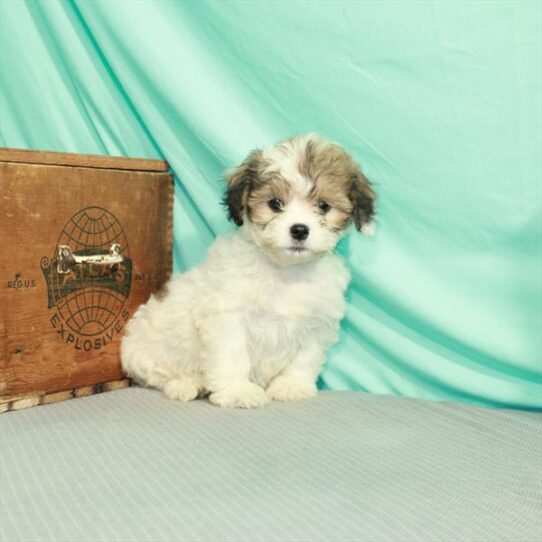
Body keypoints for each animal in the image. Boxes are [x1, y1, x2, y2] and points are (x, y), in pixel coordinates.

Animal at [121, 134, 376, 410]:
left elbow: (305, 357)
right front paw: (238, 391)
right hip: (143, 351)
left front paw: (291, 386)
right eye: (275, 203)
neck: (286, 270)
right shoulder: (227, 316)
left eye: (323, 206)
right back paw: (187, 383)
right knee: (160, 375)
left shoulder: (318, 322)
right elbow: (232, 356)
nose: (299, 230)